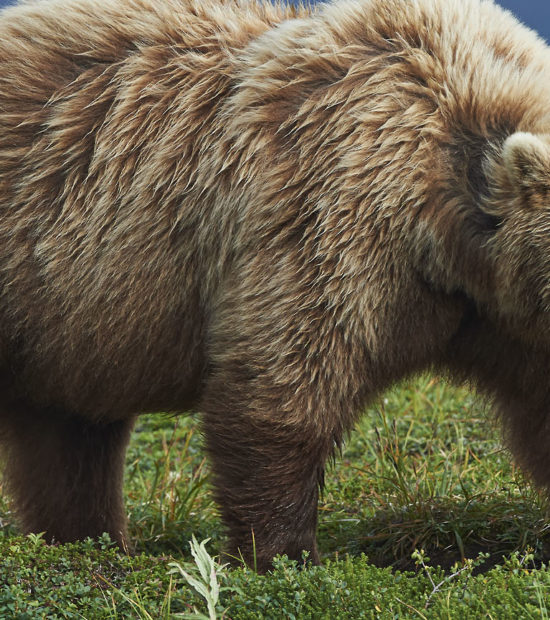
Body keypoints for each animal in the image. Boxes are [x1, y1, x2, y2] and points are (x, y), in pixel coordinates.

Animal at [0, 0, 550, 572]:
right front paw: (287, 553)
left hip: (68, 328)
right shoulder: (335, 215)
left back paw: (90, 538)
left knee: (71, 437)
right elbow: (286, 381)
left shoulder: (503, 317)